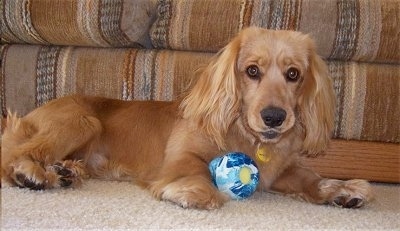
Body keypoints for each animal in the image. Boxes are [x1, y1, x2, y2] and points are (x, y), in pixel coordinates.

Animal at [0, 27, 372, 209]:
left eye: (293, 74)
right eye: (252, 70)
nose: (274, 117)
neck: (245, 135)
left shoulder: (281, 171)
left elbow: (310, 177)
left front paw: (341, 190)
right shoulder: (182, 154)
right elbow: (197, 169)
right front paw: (193, 190)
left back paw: (64, 171)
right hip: (82, 122)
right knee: (13, 155)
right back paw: (32, 172)